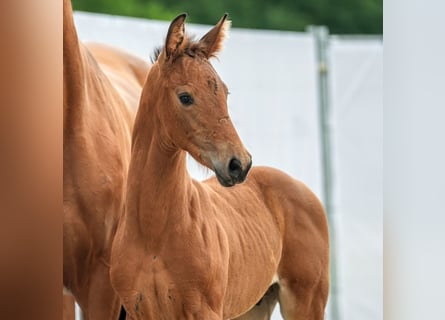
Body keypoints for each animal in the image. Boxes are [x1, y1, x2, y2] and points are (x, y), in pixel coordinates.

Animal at [109, 13, 328, 320]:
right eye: (185, 97)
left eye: (225, 93)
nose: (239, 164)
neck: (153, 233)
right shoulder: (138, 310)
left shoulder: (204, 310)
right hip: (254, 308)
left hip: (307, 300)